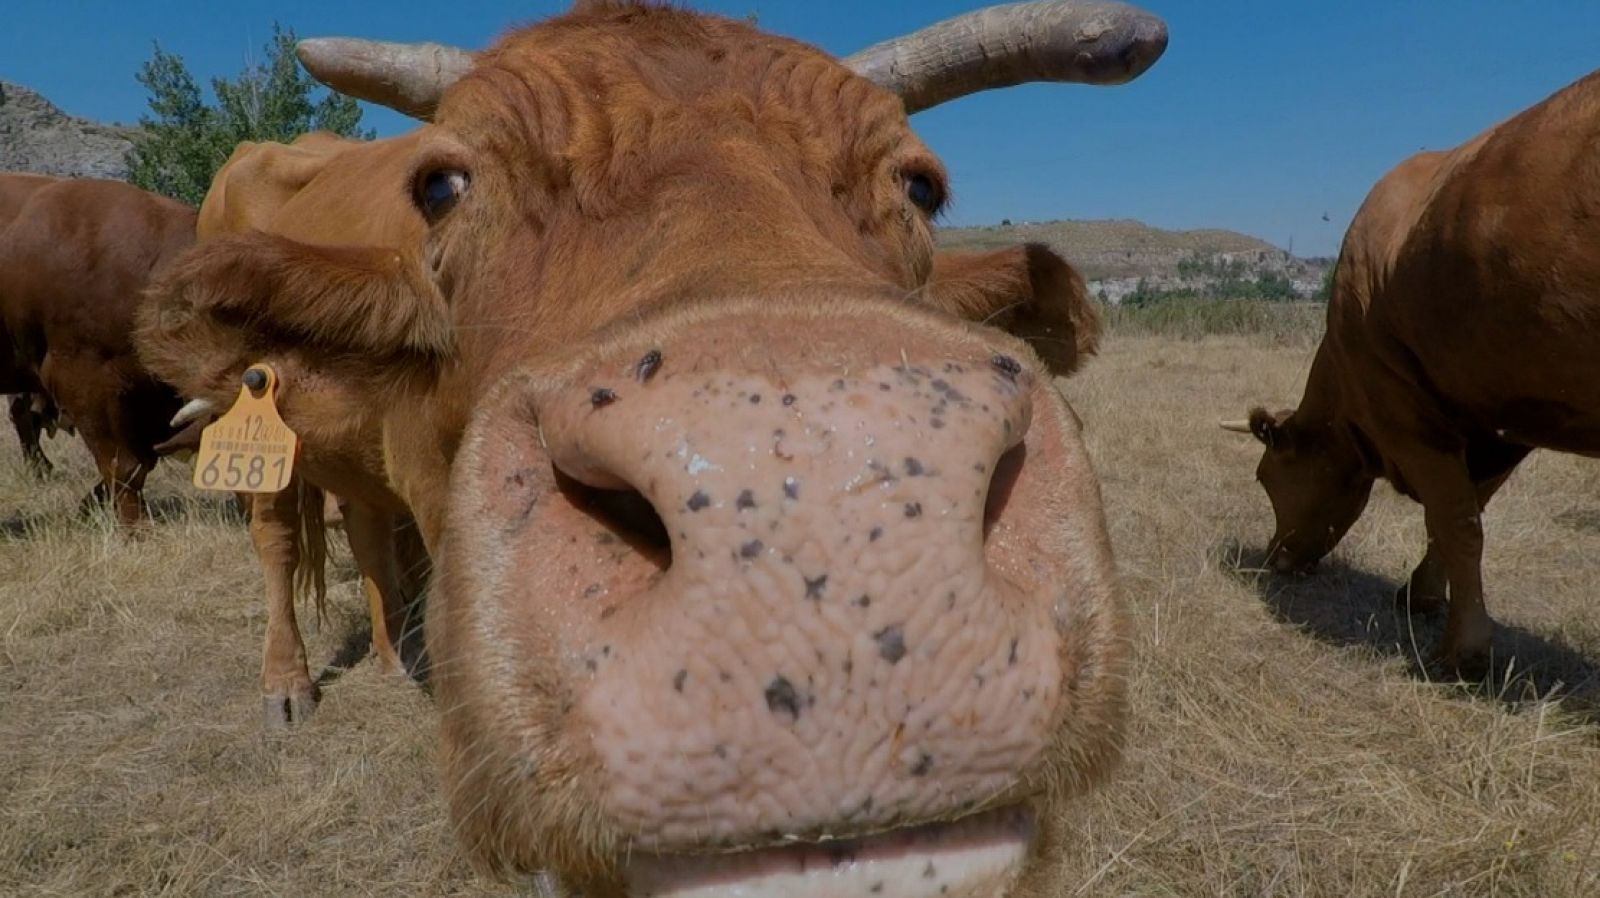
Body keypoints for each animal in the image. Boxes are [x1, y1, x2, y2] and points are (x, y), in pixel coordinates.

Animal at [136, 1, 1165, 893]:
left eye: (921, 185)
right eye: (440, 185)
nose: (819, 498)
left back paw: (401, 659)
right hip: (255, 421)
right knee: (278, 538)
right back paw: (287, 686)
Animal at [1224, 67, 1600, 677]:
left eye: (1265, 476)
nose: (1275, 558)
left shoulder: (1408, 415)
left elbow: (1455, 524)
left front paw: (1461, 649)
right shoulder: (1494, 421)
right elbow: (1460, 517)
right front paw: (1422, 596)